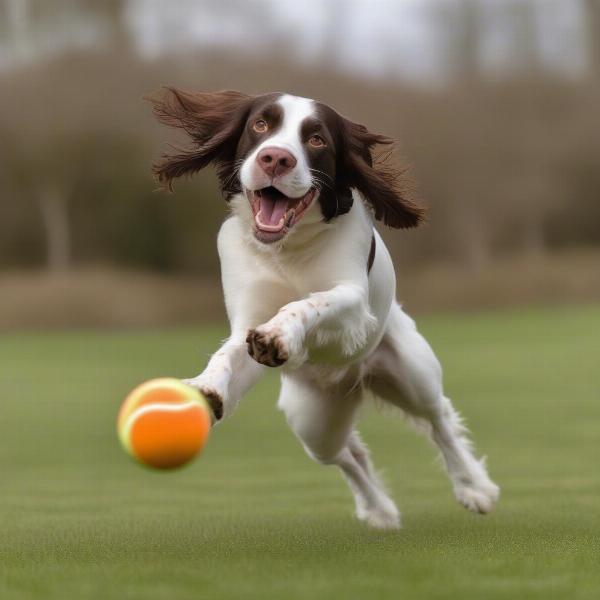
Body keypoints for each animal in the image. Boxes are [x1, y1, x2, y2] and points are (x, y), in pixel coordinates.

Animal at [151, 89, 502, 528]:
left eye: (316, 138)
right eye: (261, 125)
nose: (275, 159)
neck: (287, 248)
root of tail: (354, 380)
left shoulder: (353, 300)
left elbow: (310, 302)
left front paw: (279, 333)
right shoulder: (245, 324)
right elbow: (228, 355)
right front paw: (205, 387)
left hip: (412, 372)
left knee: (439, 420)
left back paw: (474, 488)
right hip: (313, 418)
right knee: (347, 453)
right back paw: (378, 510)